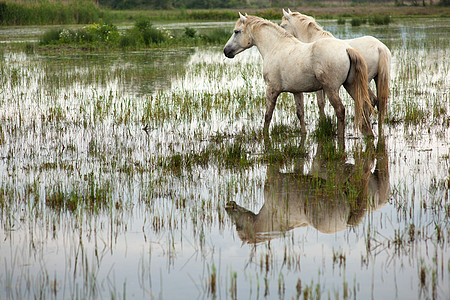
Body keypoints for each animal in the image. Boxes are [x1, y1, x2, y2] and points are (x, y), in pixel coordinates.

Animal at [223, 12, 374, 142]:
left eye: (236, 31)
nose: (226, 51)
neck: (276, 47)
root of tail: (347, 49)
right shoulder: (296, 91)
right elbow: (300, 113)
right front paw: (304, 133)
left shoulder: (272, 90)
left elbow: (268, 115)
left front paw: (264, 135)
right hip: (350, 86)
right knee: (364, 105)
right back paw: (369, 133)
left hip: (331, 89)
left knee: (341, 110)